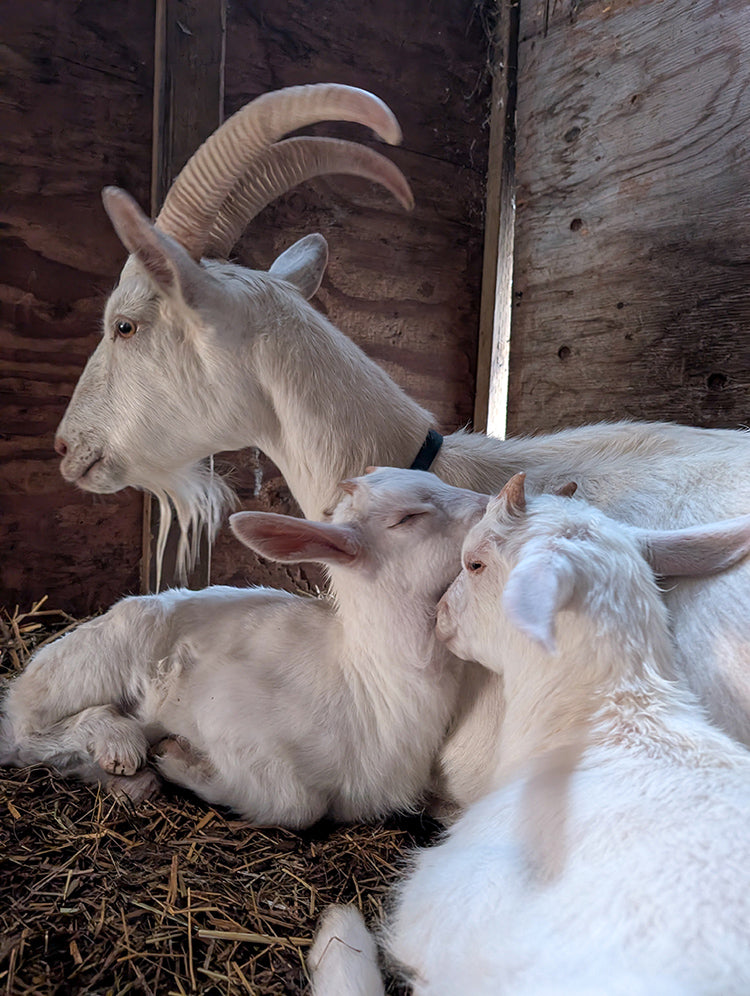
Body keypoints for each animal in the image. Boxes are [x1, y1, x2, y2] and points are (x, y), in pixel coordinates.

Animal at [0, 468, 485, 825]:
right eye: (407, 518)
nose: (488, 504)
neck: (367, 682)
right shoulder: (228, 712)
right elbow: (298, 806)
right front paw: (180, 760)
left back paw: (129, 780)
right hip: (93, 659)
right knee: (25, 733)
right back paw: (117, 741)